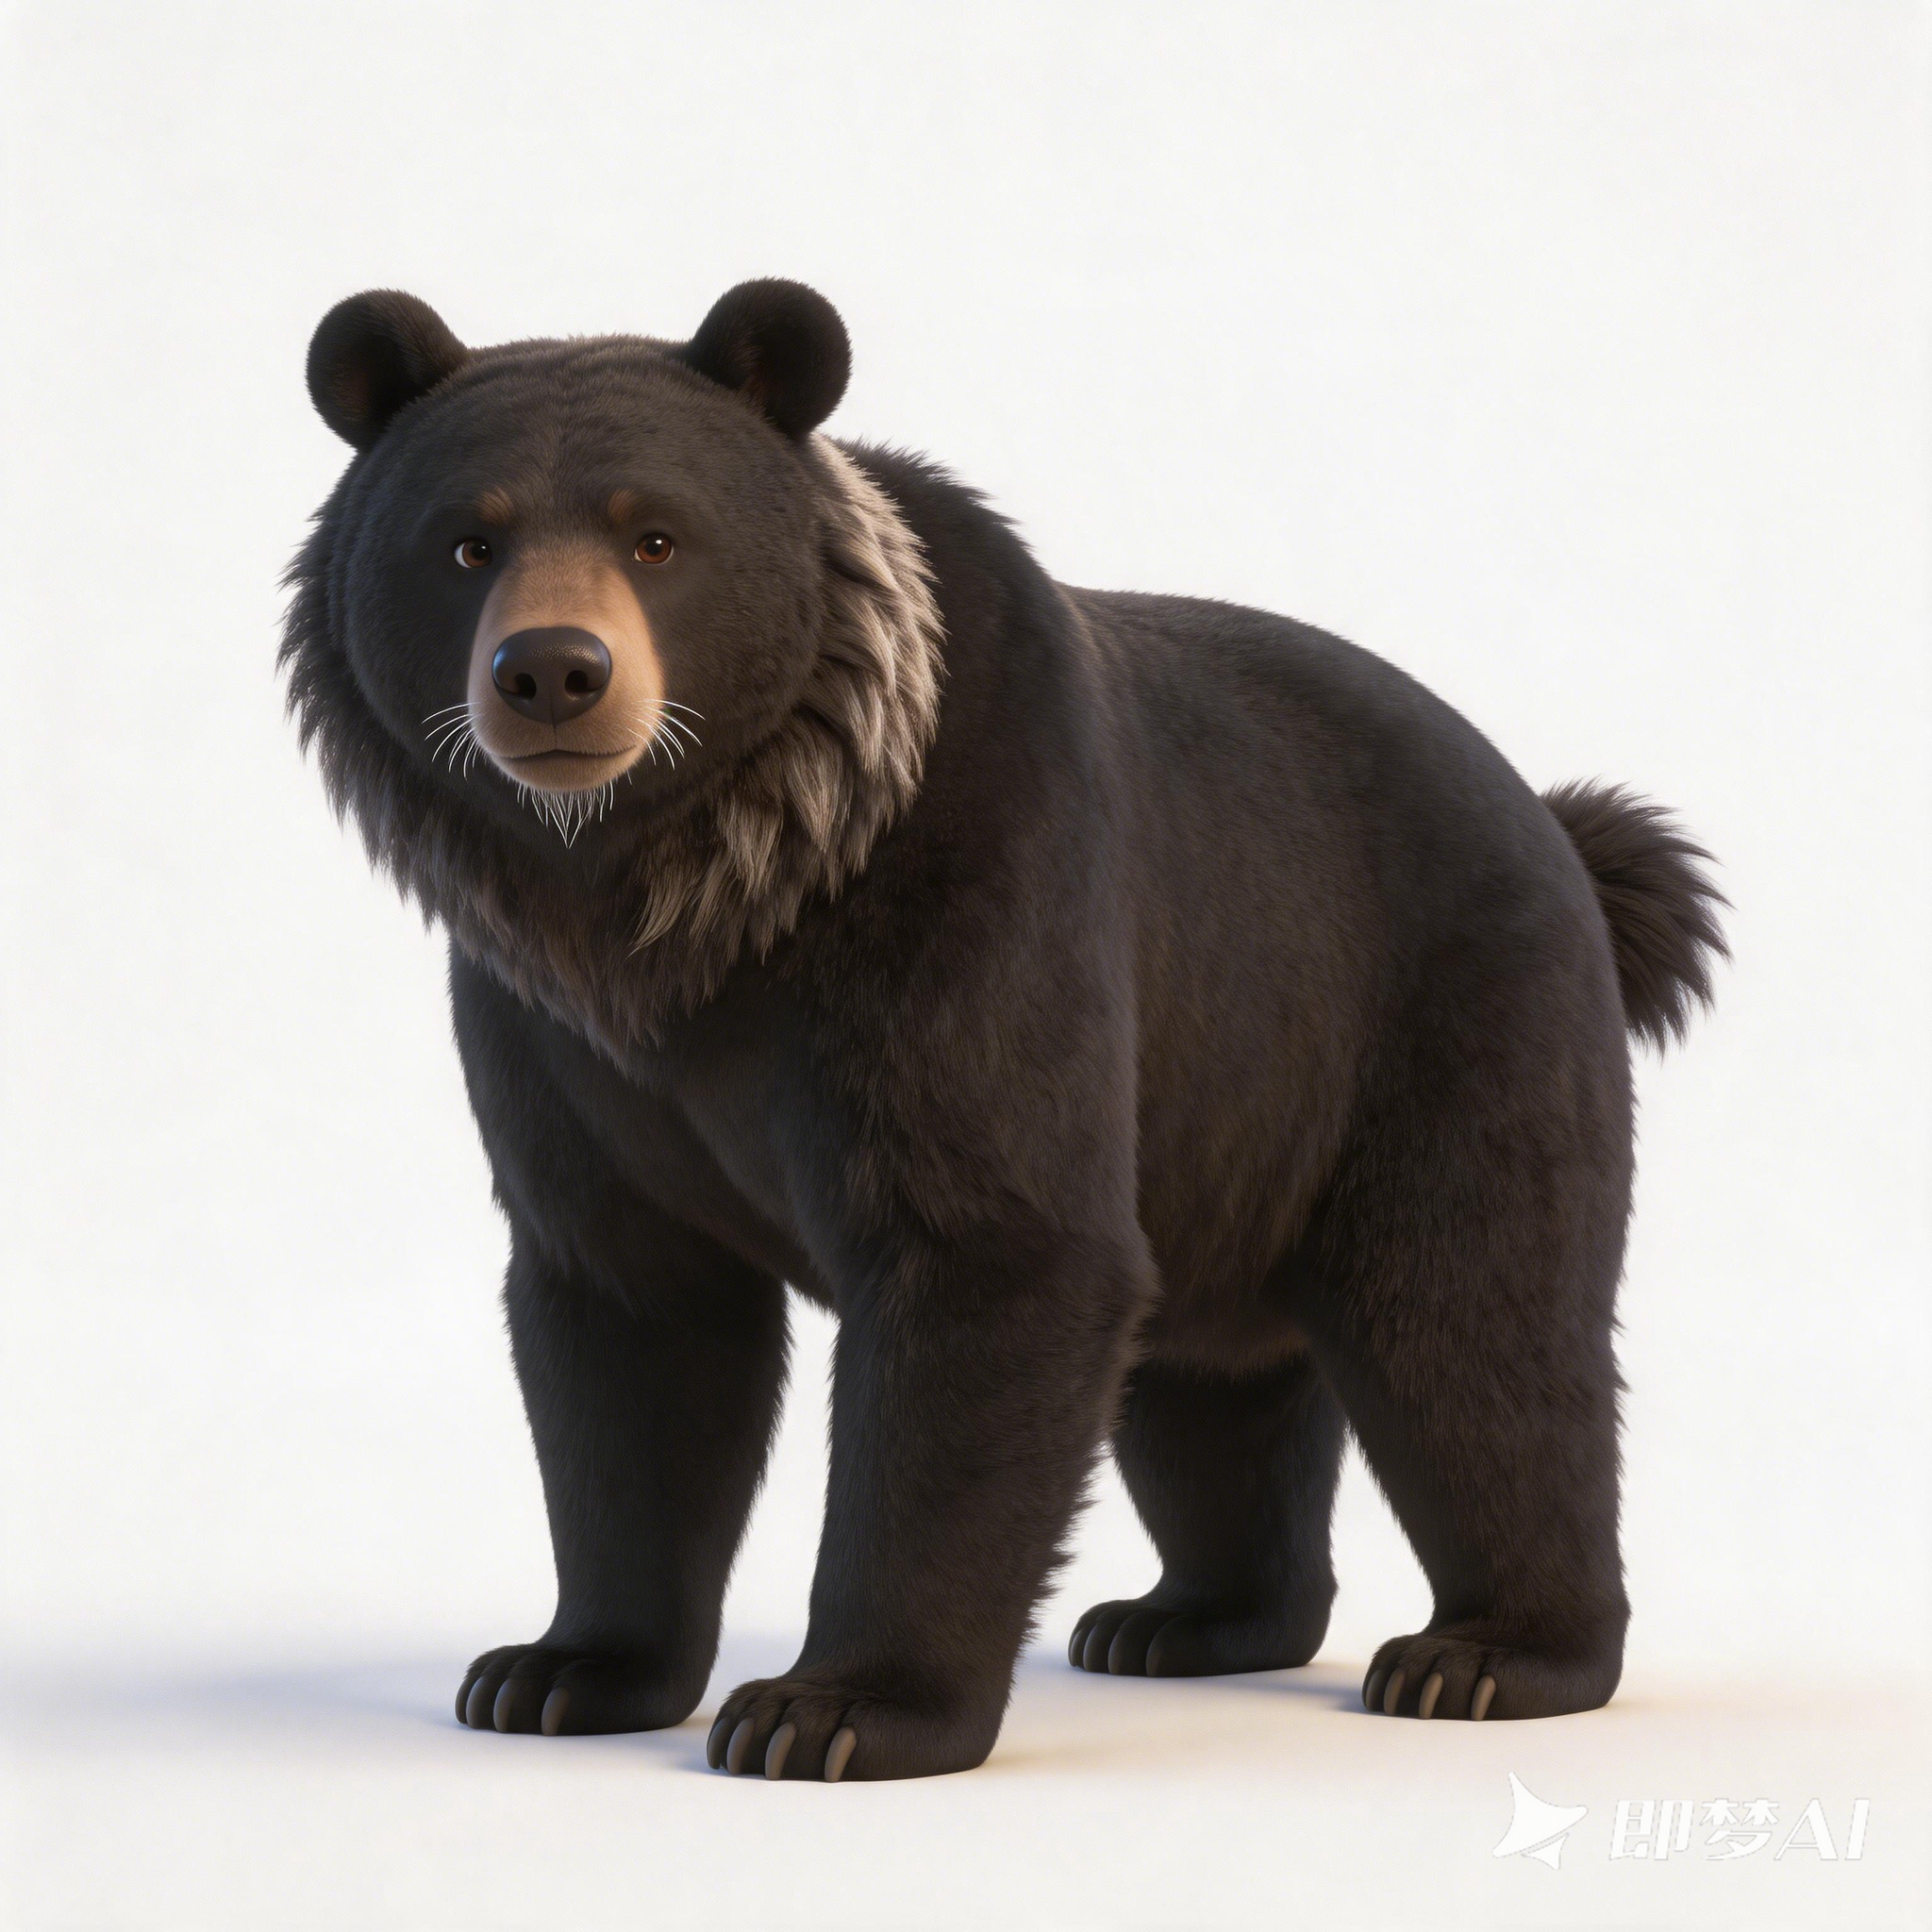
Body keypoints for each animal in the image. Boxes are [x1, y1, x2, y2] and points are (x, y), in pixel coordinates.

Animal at [284, 279, 1725, 1782]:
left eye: (656, 532)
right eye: (468, 538)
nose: (555, 672)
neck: (691, 897)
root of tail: (1557, 828)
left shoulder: (970, 897)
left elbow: (988, 1261)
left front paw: (831, 1709)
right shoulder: (555, 1041)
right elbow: (628, 1326)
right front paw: (556, 1669)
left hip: (1433, 1016)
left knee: (1471, 1327)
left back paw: (1486, 1653)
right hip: (1233, 1124)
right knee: (1210, 1387)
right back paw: (1182, 1618)